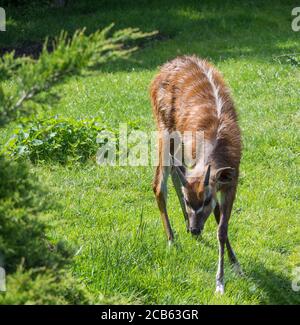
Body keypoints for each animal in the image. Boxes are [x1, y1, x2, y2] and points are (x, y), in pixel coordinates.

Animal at [151, 55, 243, 294]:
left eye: (207, 199)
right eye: (188, 200)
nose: (194, 229)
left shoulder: (230, 182)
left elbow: (221, 226)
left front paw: (236, 265)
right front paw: (220, 283)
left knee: (176, 173)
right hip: (164, 130)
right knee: (159, 183)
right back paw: (172, 240)